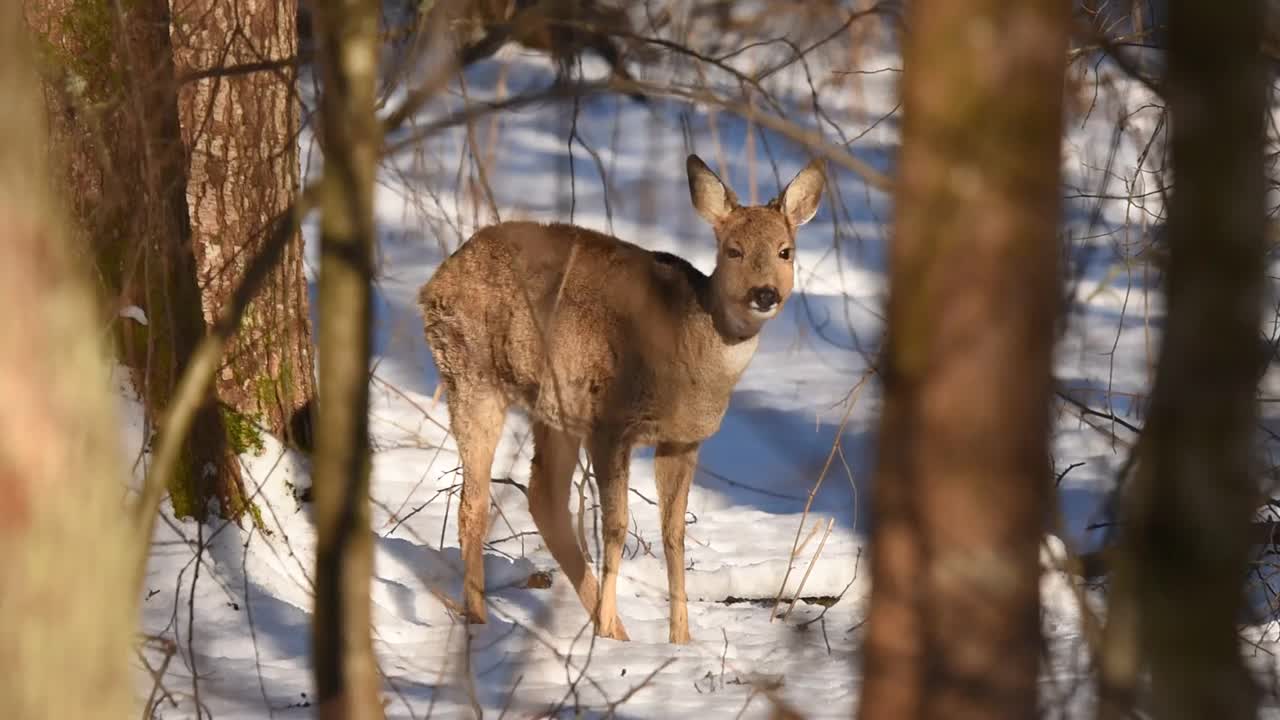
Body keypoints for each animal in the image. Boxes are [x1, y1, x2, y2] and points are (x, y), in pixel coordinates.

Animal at [414, 154, 824, 640]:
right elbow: (615, 527)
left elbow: (673, 536)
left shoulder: (682, 440)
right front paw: (616, 628)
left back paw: (613, 629)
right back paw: (483, 621)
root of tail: (436, 279)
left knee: (543, 497)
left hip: (555, 409)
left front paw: (680, 641)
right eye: (733, 250)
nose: (765, 294)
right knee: (474, 503)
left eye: (785, 251)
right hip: (472, 375)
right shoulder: (611, 423)